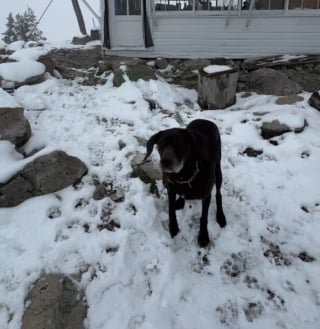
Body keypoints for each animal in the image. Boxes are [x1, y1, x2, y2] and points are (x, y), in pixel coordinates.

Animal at [144, 118, 226, 246]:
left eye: (179, 145)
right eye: (161, 145)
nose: (165, 162)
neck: (183, 176)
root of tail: (205, 120)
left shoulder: (206, 195)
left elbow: (204, 217)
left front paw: (203, 236)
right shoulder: (170, 189)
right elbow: (171, 210)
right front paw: (173, 228)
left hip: (218, 172)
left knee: (218, 194)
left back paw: (220, 216)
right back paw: (180, 201)